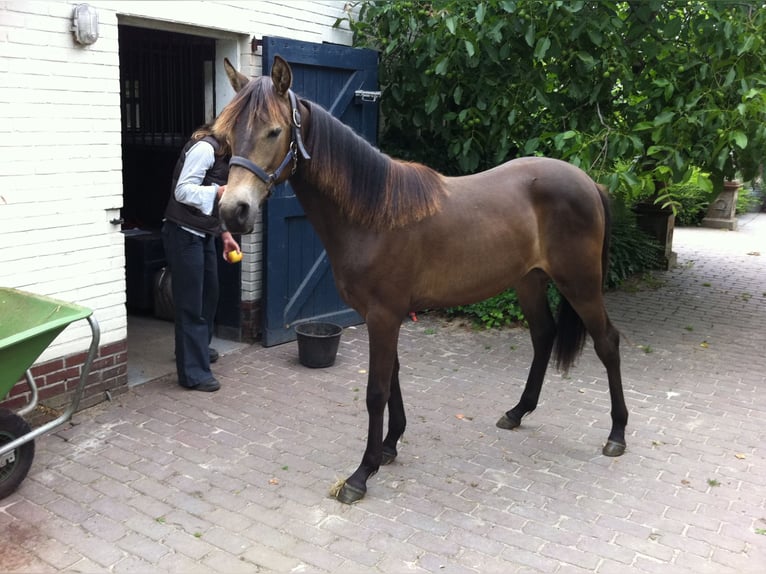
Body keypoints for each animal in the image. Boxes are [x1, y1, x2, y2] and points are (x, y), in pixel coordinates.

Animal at [214, 56, 628, 504]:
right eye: (228, 134)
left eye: (274, 131)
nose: (233, 211)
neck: (374, 215)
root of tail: (590, 183)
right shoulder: (384, 316)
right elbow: (393, 378)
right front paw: (390, 446)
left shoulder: (383, 316)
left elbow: (376, 391)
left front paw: (362, 473)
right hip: (529, 281)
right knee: (543, 336)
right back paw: (518, 412)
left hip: (581, 284)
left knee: (608, 342)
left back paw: (617, 433)